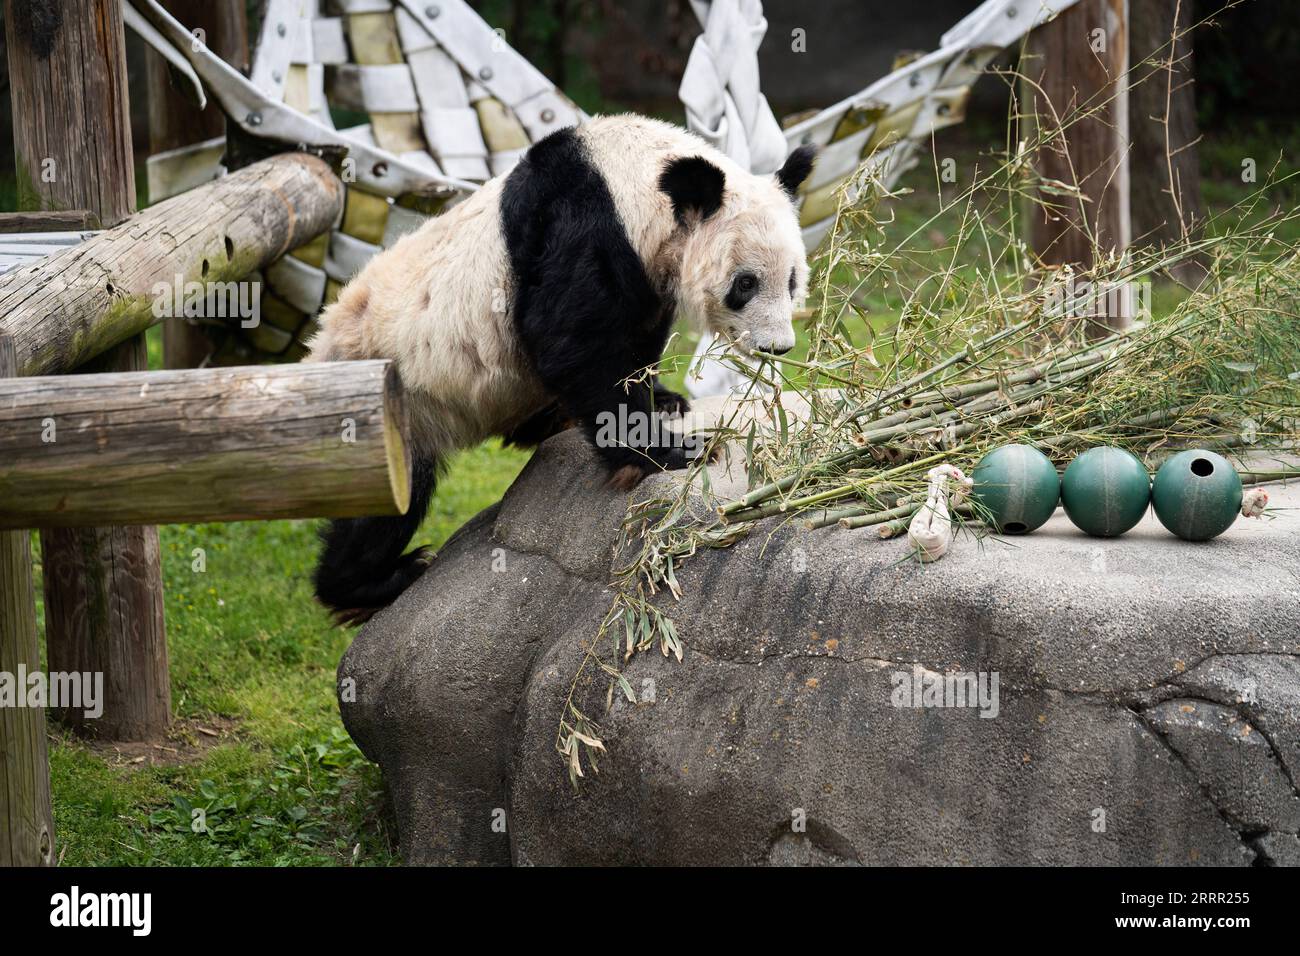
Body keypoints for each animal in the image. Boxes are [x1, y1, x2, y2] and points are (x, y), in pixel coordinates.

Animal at [306, 111, 811, 624]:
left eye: (792, 280)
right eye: (745, 284)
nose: (777, 347)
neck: (633, 179)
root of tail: (319, 352)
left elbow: (634, 340)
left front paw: (665, 400)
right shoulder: (581, 224)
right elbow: (572, 341)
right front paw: (672, 449)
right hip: (393, 396)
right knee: (384, 502)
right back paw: (372, 582)